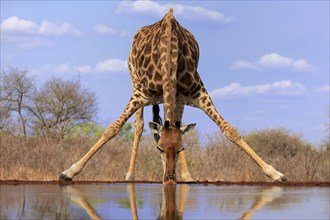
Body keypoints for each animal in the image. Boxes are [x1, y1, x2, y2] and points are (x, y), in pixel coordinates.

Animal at [59, 8, 286, 183]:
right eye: (159, 149)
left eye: (180, 149)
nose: (169, 178)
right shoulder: (140, 95)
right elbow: (112, 129)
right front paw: (69, 171)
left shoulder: (195, 94)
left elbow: (230, 130)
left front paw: (275, 173)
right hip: (134, 81)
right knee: (139, 126)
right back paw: (130, 175)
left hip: (178, 98)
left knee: (174, 121)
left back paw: (186, 176)